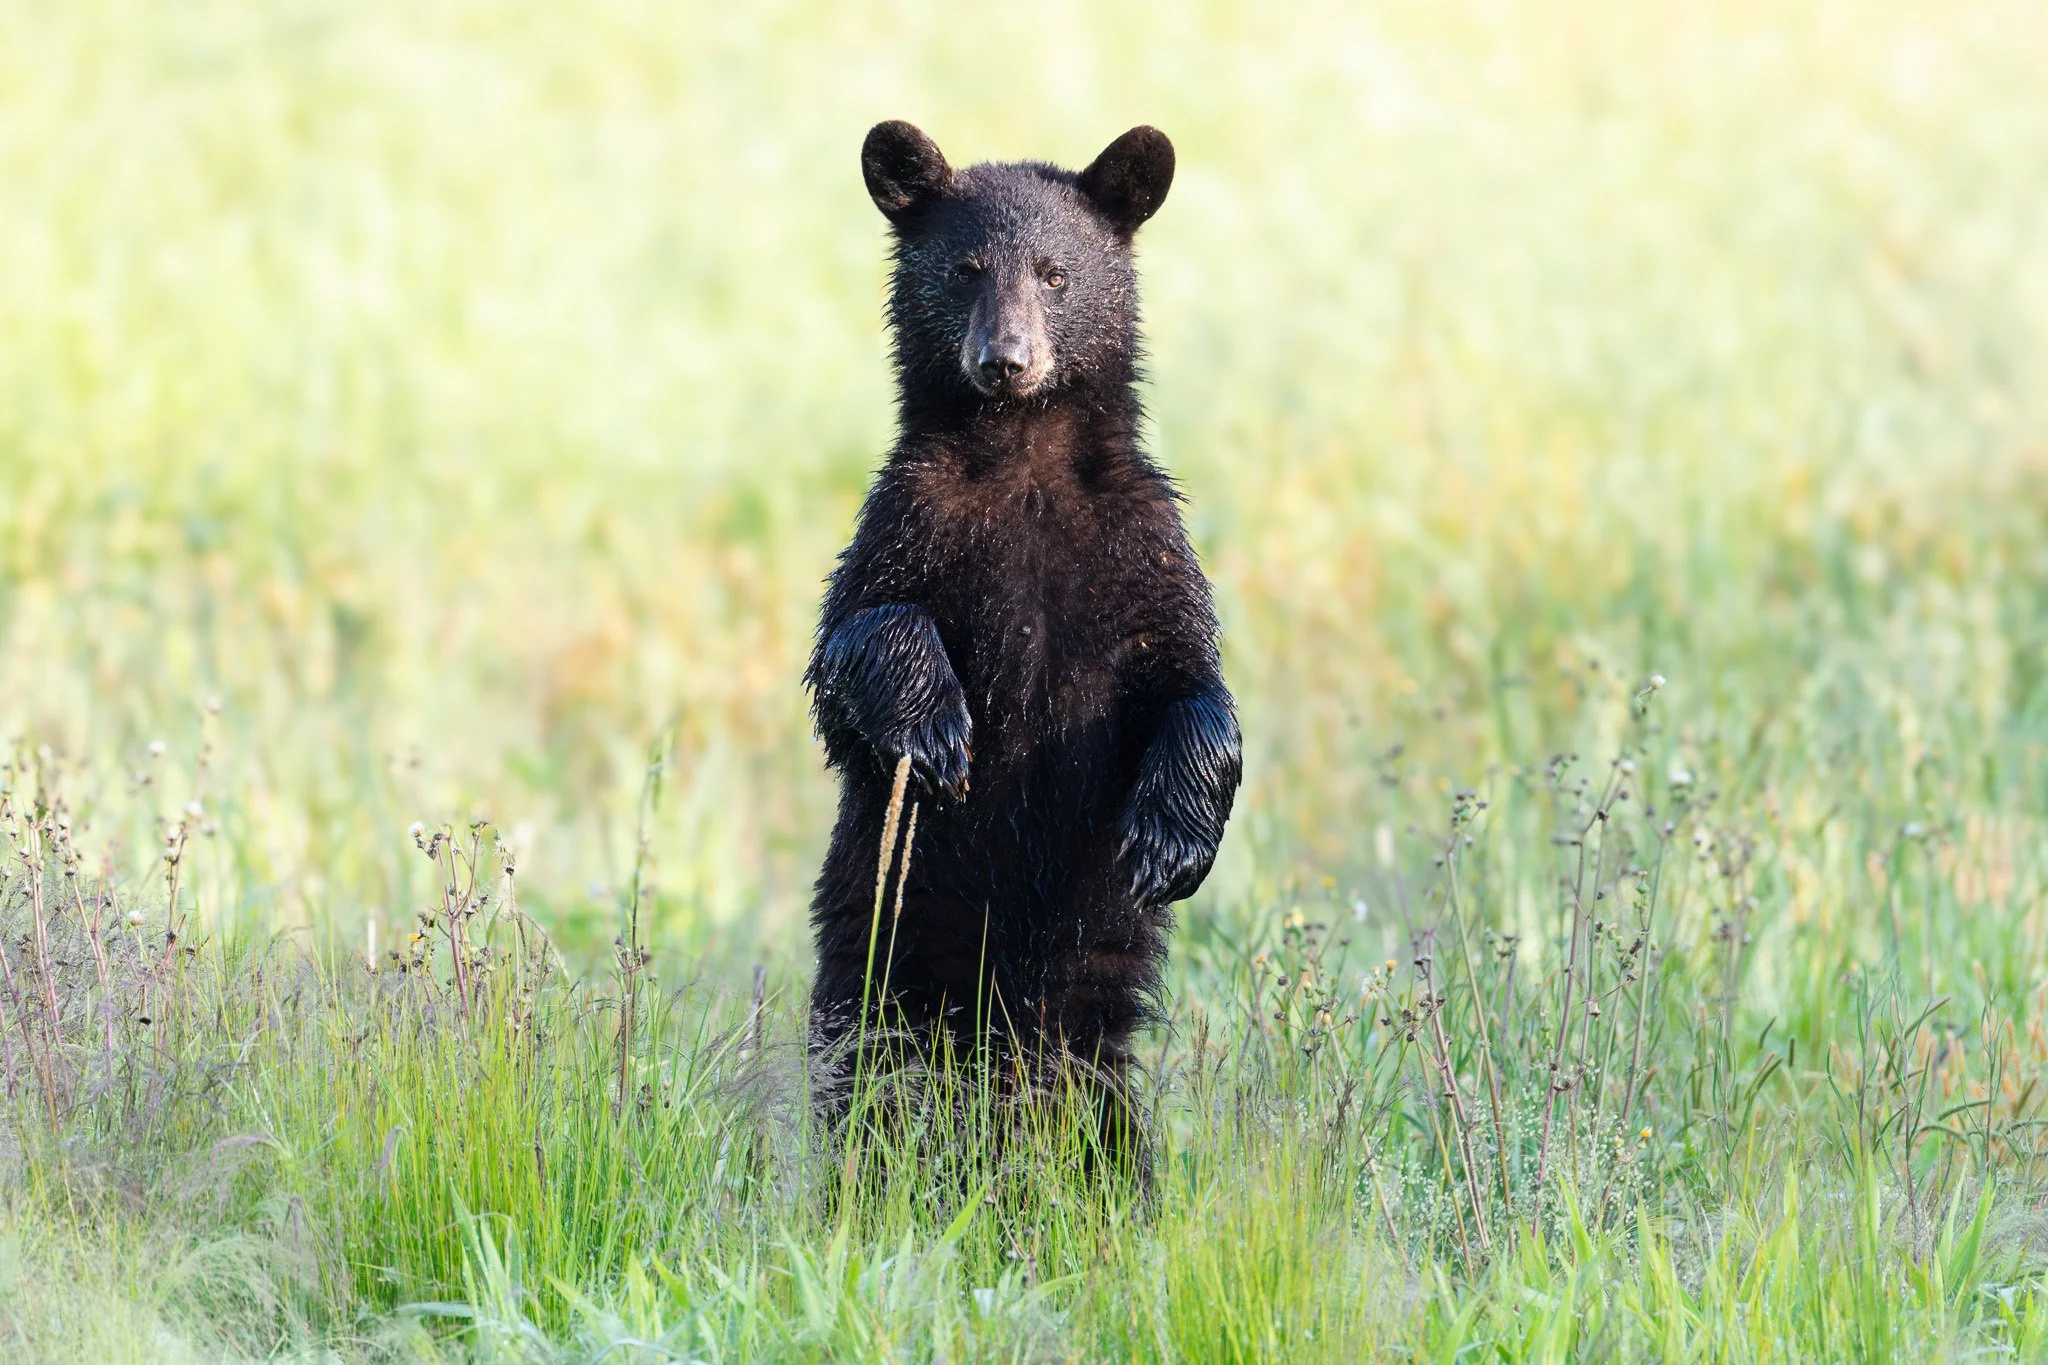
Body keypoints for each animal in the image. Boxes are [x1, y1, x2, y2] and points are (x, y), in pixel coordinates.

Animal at [806, 120, 1241, 1165]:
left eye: (1055, 272)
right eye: (966, 269)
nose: (1005, 358)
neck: (1023, 459)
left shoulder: (1140, 541)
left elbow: (1191, 678)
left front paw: (1170, 838)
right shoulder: (912, 519)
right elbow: (857, 638)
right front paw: (936, 734)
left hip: (1091, 1004)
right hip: (881, 960)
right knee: (872, 1080)